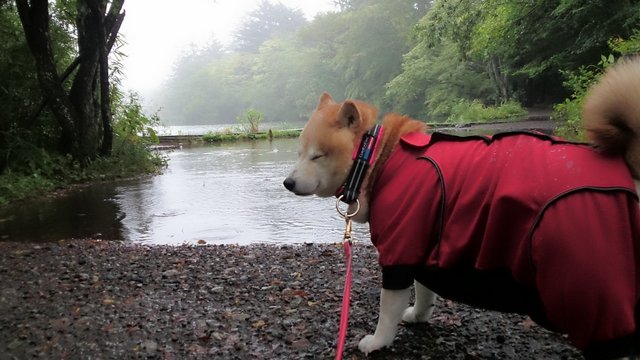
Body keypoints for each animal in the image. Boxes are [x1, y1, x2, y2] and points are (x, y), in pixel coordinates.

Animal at [284, 57, 640, 358]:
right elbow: (425, 293)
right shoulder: (424, 244)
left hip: (585, 283)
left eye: (317, 155)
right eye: (299, 153)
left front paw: (378, 341)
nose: (288, 181)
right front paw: (418, 316)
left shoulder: (401, 247)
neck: (378, 160)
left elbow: (388, 309)